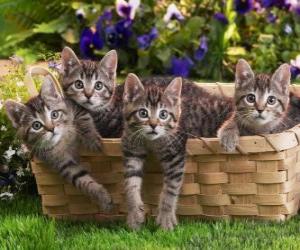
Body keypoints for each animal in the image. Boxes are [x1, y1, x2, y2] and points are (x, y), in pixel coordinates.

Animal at [4, 76, 112, 211]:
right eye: (36, 125)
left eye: (54, 114)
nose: (52, 129)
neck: (62, 141)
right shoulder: (60, 162)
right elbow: (80, 178)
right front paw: (101, 196)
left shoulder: (74, 106)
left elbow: (83, 119)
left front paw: (92, 139)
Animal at [121, 73, 232, 230]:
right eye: (143, 113)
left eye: (163, 114)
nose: (153, 125)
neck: (152, 141)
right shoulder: (131, 150)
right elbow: (130, 183)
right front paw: (134, 214)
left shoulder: (175, 154)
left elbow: (171, 187)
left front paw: (166, 218)